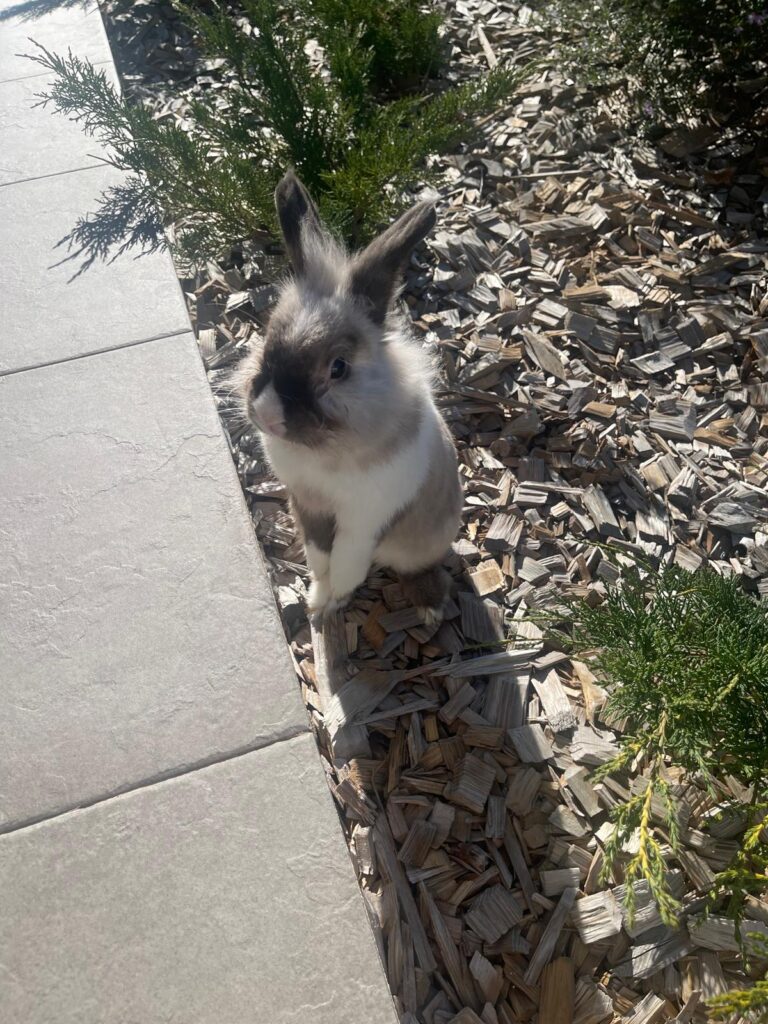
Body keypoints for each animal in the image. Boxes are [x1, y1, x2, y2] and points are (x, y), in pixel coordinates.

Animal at [237, 170, 463, 623]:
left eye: (337, 368)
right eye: (267, 340)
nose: (267, 415)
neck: (324, 450)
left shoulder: (364, 521)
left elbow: (346, 566)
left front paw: (330, 603)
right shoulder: (308, 506)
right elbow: (320, 558)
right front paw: (316, 599)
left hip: (422, 542)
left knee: (418, 568)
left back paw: (431, 606)